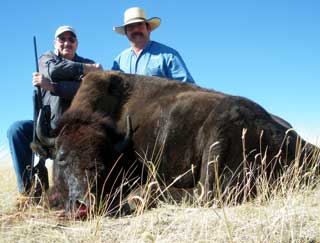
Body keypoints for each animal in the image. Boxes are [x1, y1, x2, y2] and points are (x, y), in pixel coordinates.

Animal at [35, 70, 318, 216]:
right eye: (61, 157)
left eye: (103, 164)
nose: (83, 206)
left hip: (219, 138)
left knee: (205, 194)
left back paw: (138, 197)